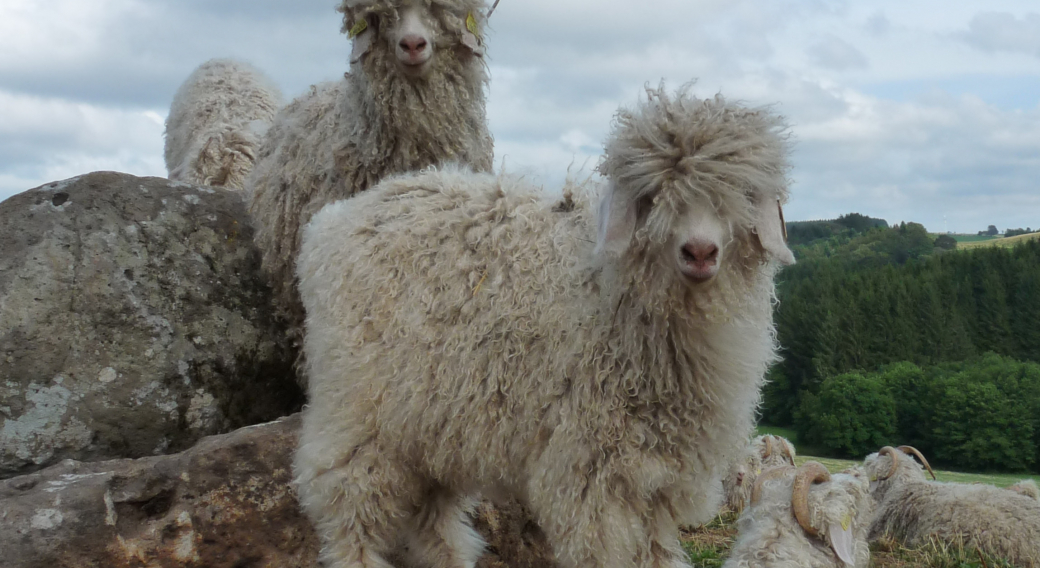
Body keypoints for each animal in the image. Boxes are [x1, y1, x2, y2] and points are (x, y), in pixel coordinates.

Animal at [293, 84, 794, 565]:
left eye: (743, 194)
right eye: (652, 197)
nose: (700, 252)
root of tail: (328, 224)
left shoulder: (661, 477)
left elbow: (656, 553)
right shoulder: (591, 463)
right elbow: (600, 551)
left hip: (434, 418)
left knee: (433, 517)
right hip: (357, 407)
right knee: (347, 500)